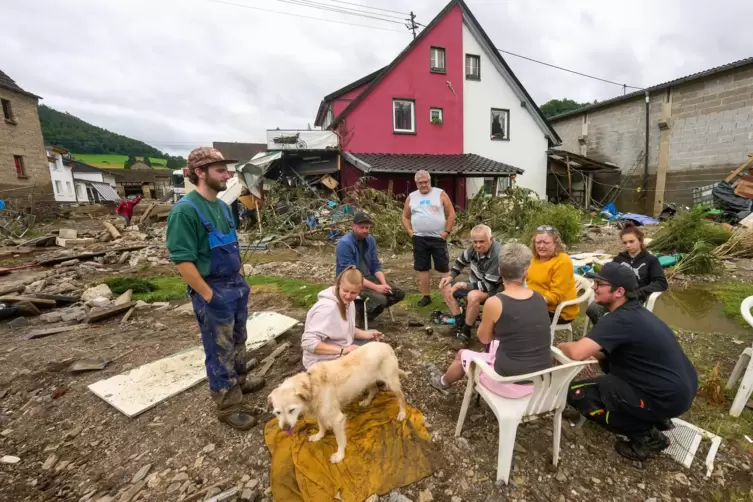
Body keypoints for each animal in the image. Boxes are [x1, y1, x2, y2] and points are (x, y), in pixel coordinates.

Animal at [268, 342, 408, 462]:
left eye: (291, 410)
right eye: (277, 413)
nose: (285, 428)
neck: (312, 386)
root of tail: (386, 344)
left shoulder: (337, 419)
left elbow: (339, 440)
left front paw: (340, 455)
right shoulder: (319, 411)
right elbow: (321, 425)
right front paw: (319, 435)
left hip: (392, 383)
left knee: (401, 397)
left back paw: (402, 413)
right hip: (367, 381)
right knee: (374, 389)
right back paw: (366, 402)